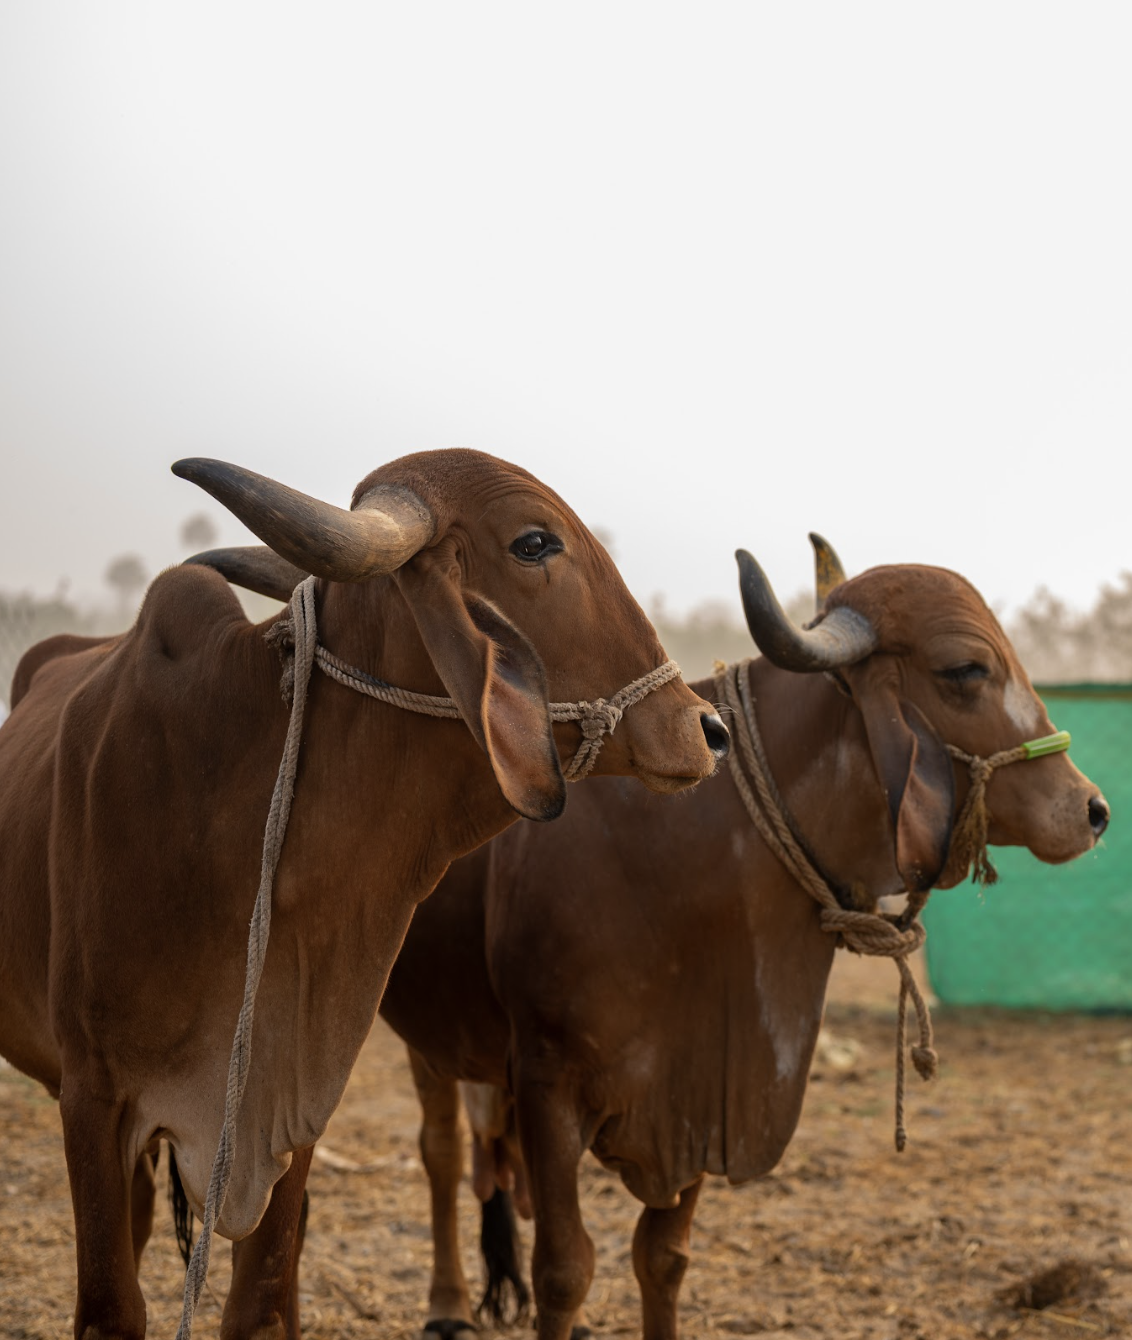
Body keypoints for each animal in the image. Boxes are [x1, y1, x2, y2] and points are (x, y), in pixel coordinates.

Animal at [0, 448, 729, 1340]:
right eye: (534, 542)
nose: (707, 729)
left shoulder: (291, 1106)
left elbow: (260, 1303)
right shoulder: (92, 1097)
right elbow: (111, 1309)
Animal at [374, 539, 1111, 1340]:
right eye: (966, 669)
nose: (1091, 809)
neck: (691, 848)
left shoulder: (704, 1089)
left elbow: (662, 1258)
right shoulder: (548, 1081)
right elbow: (564, 1270)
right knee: (442, 1151)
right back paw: (446, 1304)